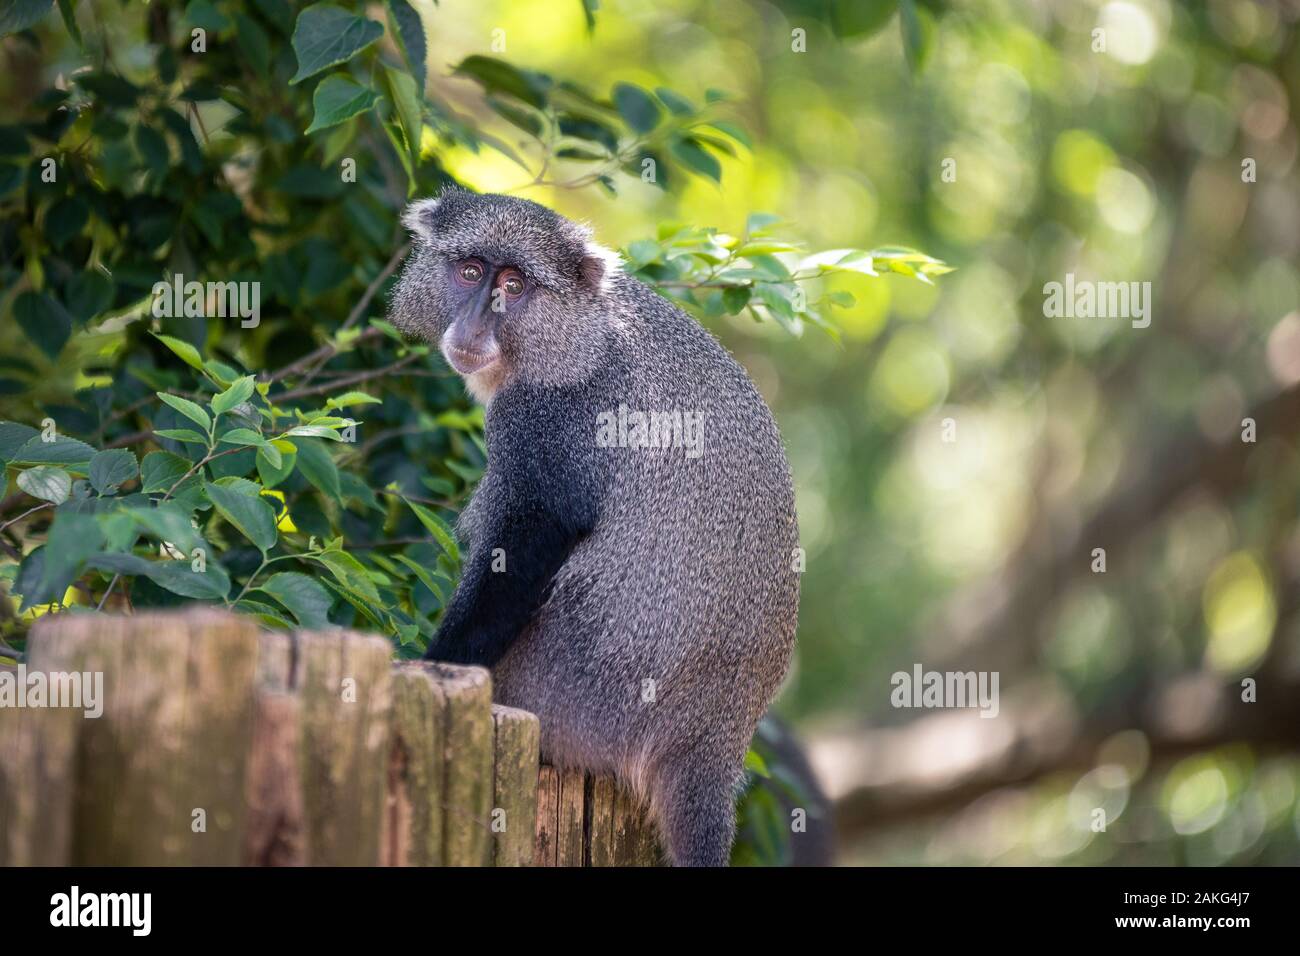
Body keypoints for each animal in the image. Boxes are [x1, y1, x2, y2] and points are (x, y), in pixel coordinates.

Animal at [384, 188, 795, 868]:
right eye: (470, 271)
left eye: (515, 285)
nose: (475, 324)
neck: (583, 331)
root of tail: (713, 743)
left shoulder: (549, 417)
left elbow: (529, 541)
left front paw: (433, 665)